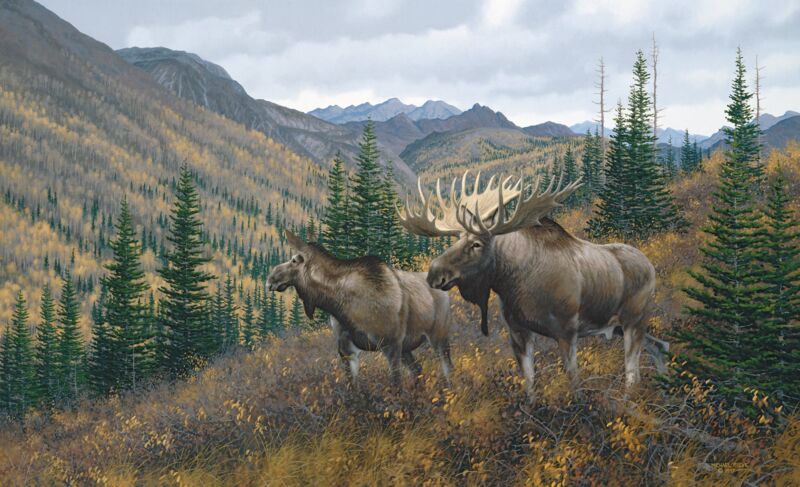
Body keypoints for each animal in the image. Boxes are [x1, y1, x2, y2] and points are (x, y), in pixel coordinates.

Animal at [266, 230, 454, 387]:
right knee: (417, 370)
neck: (338, 305)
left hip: (439, 336)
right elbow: (353, 388)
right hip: (407, 347)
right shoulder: (346, 349)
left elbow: (396, 385)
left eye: (294, 260)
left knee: (447, 368)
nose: (270, 279)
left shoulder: (390, 344)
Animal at [398, 171, 669, 394]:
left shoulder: (567, 330)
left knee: (633, 372)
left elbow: (574, 381)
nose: (434, 273)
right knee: (660, 345)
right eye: (455, 240)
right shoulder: (518, 331)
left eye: (476, 244)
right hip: (622, 325)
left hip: (634, 319)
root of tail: (650, 266)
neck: (513, 283)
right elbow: (529, 383)